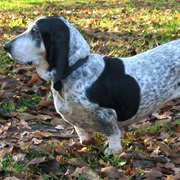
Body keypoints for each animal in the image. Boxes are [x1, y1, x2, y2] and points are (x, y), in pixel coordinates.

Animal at [3, 16, 180, 155]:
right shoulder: (77, 122)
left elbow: (112, 134)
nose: (6, 46)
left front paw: (113, 151)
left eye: (35, 31)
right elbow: (83, 134)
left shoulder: (105, 114)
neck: (76, 67)